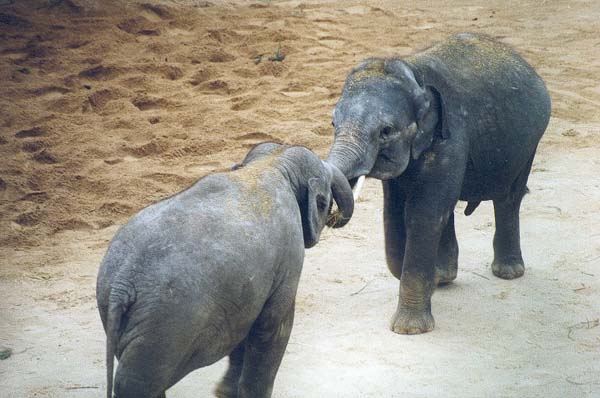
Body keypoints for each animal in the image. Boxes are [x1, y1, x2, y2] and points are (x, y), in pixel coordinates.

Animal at [96, 143, 354, 398]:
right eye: (326, 201)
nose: (335, 217)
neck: (274, 163)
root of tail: (122, 283)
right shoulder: (289, 258)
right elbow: (272, 326)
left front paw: (225, 392)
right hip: (164, 324)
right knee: (137, 382)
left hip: (117, 309)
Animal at [326, 32, 552, 334]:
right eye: (333, 123)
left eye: (386, 131)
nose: (332, 214)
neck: (413, 72)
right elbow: (394, 213)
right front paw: (430, 280)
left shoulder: (450, 138)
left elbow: (424, 214)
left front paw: (409, 329)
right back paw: (444, 277)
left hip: (528, 146)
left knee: (508, 199)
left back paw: (507, 273)